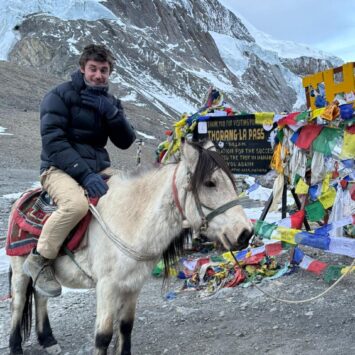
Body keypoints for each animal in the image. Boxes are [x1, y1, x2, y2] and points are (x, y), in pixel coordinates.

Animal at [7, 140, 253, 355]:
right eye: (210, 183)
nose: (245, 233)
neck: (130, 220)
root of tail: (22, 200)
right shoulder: (106, 287)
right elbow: (103, 337)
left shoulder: (133, 285)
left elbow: (126, 327)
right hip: (19, 271)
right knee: (18, 305)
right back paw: (16, 346)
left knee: (41, 296)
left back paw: (48, 340)